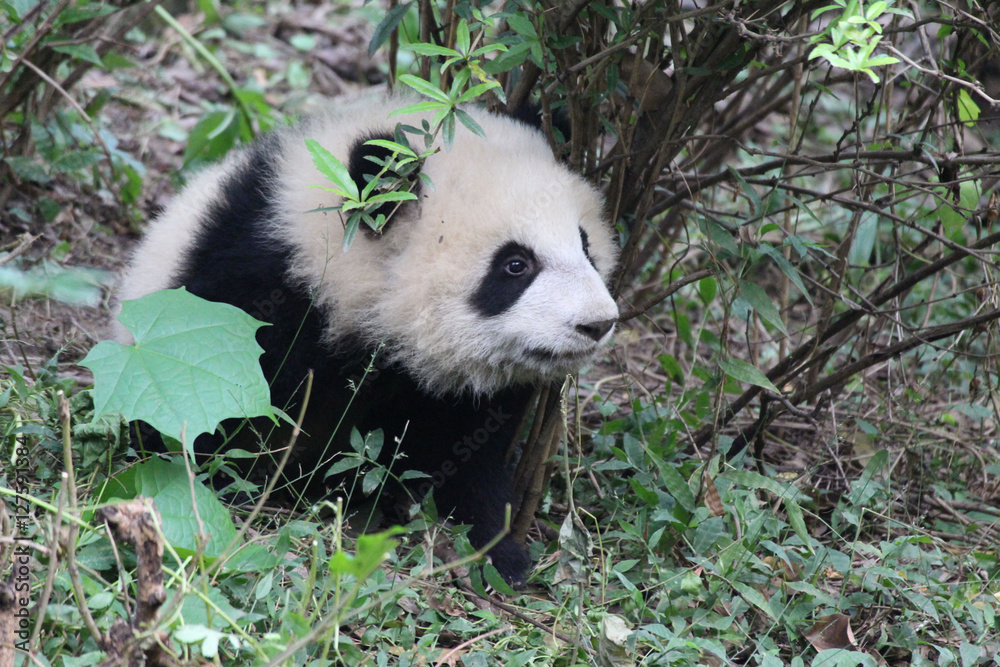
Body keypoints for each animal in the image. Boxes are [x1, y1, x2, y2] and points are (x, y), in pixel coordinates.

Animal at [112, 94, 619, 585]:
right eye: (516, 265)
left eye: (585, 245)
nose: (597, 323)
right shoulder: (253, 293)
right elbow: (213, 407)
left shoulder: (453, 393)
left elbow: (471, 453)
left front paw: (499, 553)